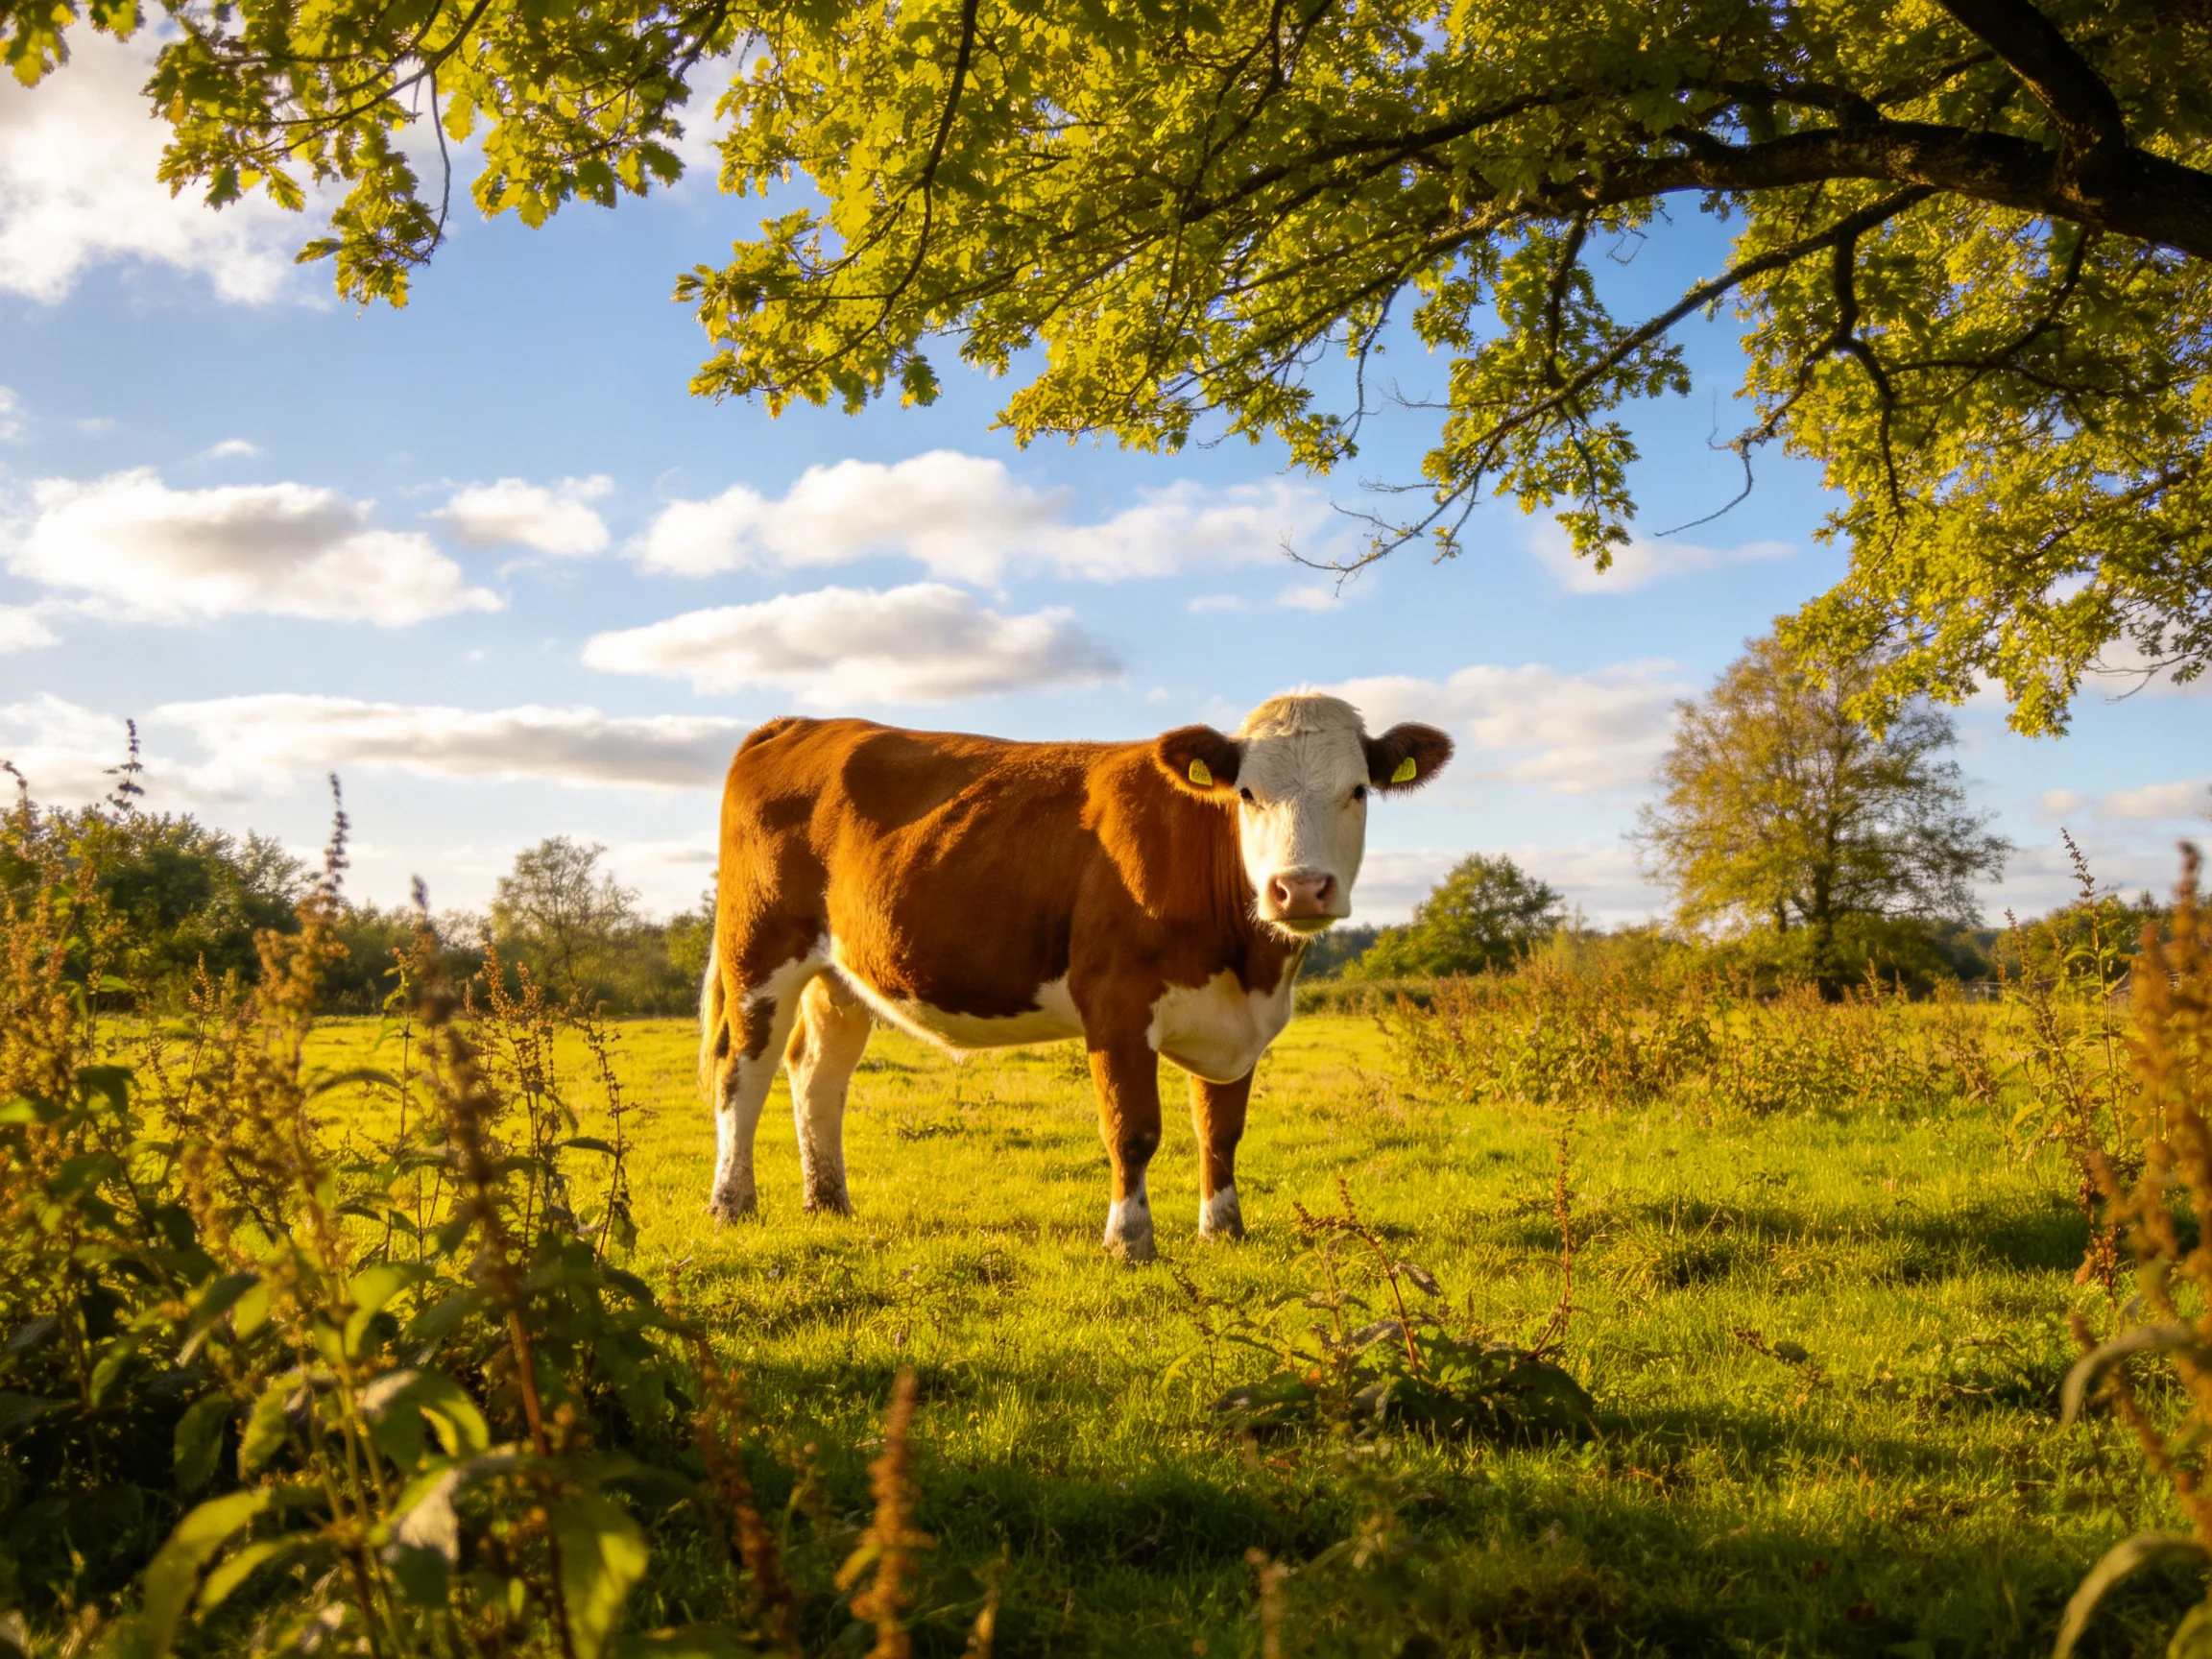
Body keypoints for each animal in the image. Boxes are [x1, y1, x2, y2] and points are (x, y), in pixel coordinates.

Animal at [697, 692, 1453, 1261]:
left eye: (1358, 791)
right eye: (1247, 792)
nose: (1299, 889)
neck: (1251, 962)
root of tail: (802, 723)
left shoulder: (1237, 1022)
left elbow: (1221, 1129)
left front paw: (1223, 1230)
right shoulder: (1115, 1004)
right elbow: (1132, 1129)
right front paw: (1129, 1241)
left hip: (842, 976)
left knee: (816, 1074)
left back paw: (829, 1203)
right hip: (759, 952)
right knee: (743, 1071)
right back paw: (733, 1204)